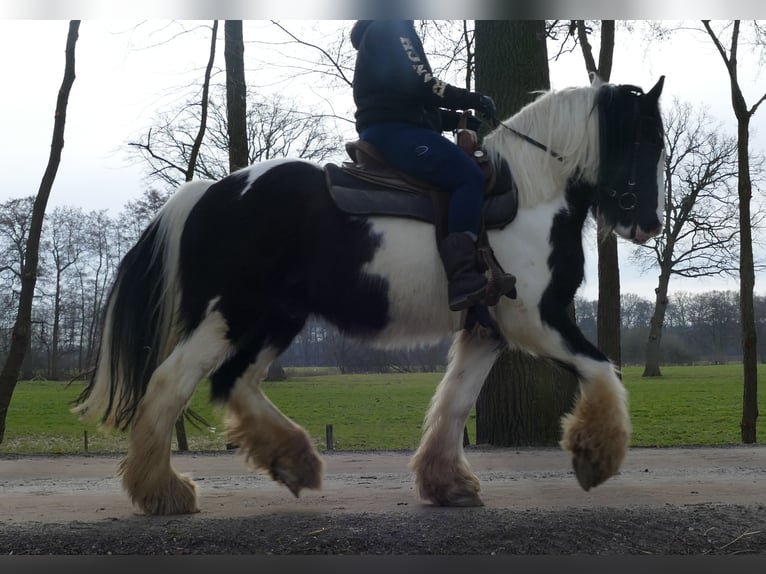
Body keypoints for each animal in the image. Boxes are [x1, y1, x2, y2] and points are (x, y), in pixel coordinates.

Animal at [74, 75, 666, 515]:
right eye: (645, 141)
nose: (649, 224)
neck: (531, 195)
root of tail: (207, 192)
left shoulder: (486, 329)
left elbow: (455, 403)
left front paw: (446, 484)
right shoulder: (536, 320)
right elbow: (602, 368)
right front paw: (597, 455)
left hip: (275, 318)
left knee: (235, 383)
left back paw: (294, 461)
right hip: (228, 317)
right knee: (172, 384)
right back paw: (163, 491)